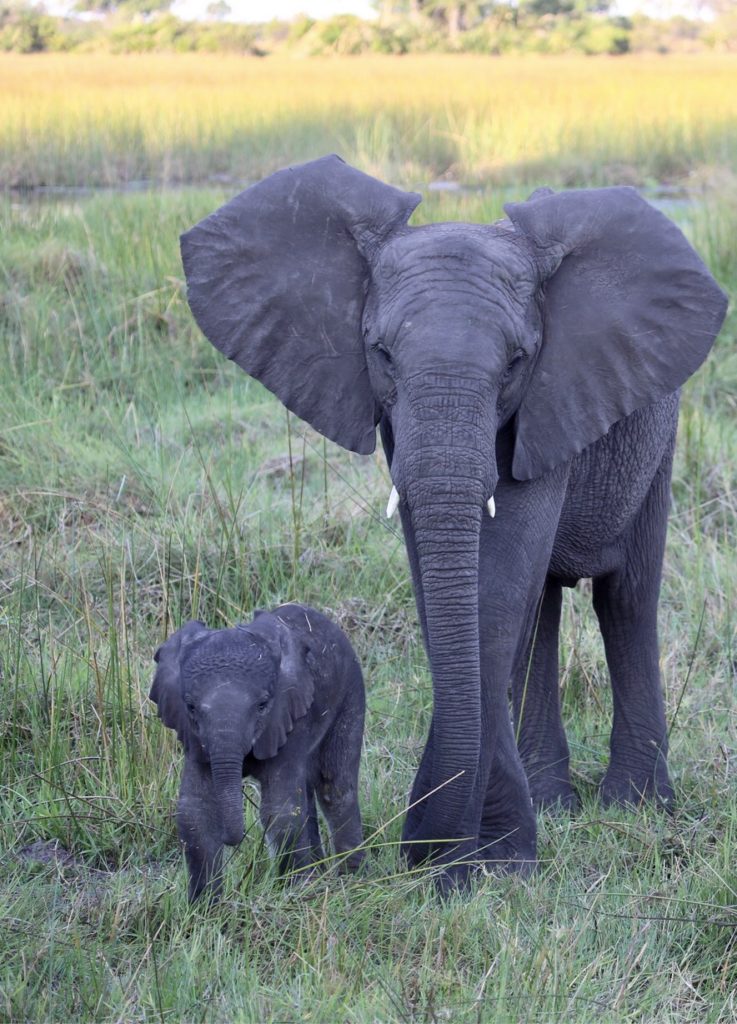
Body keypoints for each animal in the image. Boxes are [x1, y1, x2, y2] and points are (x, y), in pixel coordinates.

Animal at [150, 603, 365, 901]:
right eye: (191, 707)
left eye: (263, 705)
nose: (233, 840)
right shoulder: (195, 738)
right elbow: (195, 811)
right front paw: (205, 907)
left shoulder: (289, 715)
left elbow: (281, 810)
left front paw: (294, 895)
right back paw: (320, 875)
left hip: (351, 693)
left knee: (335, 787)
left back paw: (352, 881)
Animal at [179, 155, 727, 891]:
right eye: (381, 353)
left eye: (517, 361)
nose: (419, 852)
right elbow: (446, 568)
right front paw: (471, 854)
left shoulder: (553, 390)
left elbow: (500, 579)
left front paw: (489, 861)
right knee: (543, 610)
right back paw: (555, 804)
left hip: (656, 432)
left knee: (626, 598)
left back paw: (635, 806)